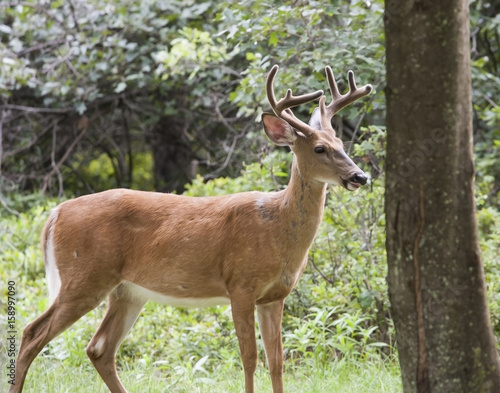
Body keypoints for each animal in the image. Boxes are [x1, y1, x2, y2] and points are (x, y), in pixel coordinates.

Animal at [10, 65, 372, 392]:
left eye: (341, 143)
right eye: (320, 148)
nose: (360, 176)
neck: (277, 228)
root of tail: (55, 213)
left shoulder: (274, 296)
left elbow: (277, 362)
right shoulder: (240, 284)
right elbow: (249, 357)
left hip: (126, 291)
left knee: (99, 348)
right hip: (84, 275)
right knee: (32, 333)